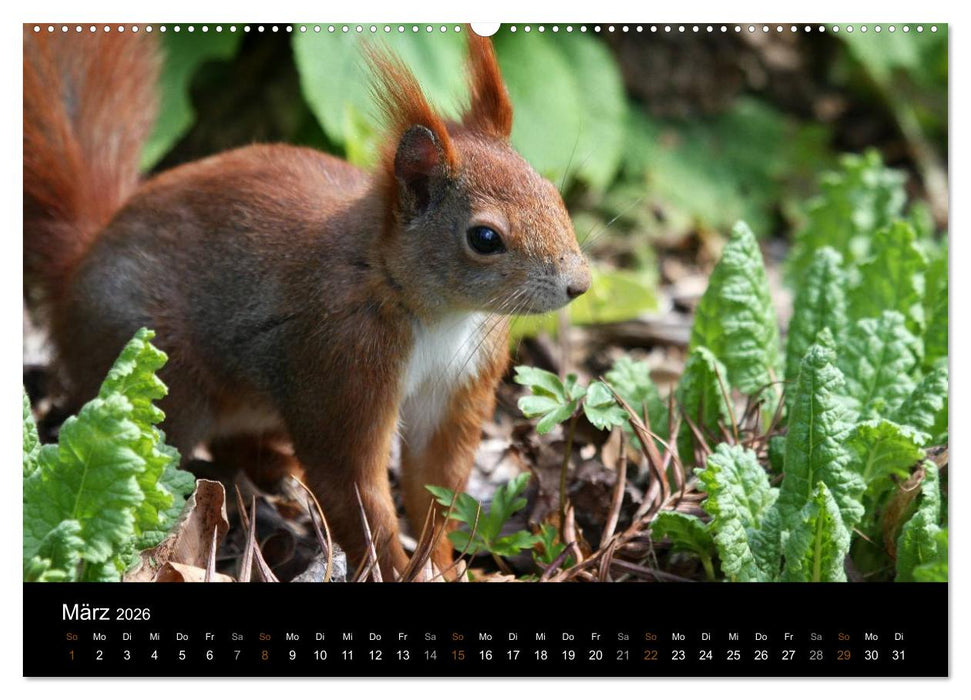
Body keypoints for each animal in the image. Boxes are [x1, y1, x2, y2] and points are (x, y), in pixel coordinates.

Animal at [23, 27, 591, 579]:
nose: (580, 284)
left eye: (553, 194)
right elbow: (355, 489)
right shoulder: (339, 362)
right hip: (163, 381)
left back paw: (277, 469)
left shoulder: (460, 383)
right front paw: (397, 567)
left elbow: (436, 484)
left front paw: (445, 563)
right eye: (485, 238)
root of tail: (76, 269)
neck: (437, 312)